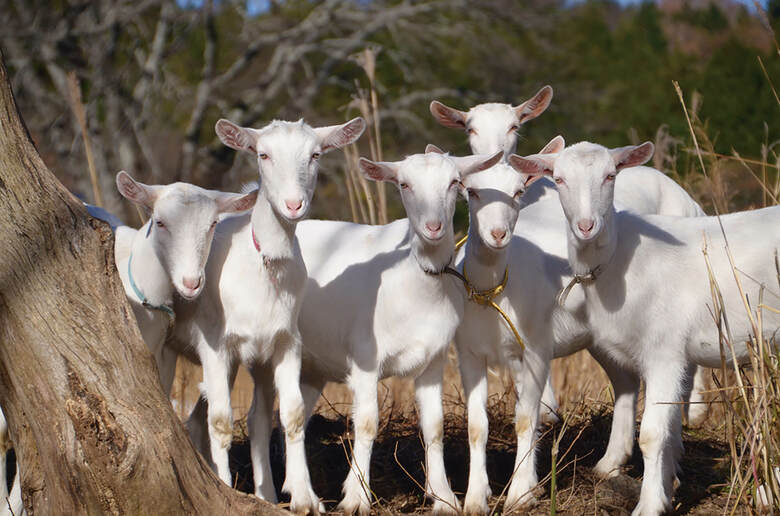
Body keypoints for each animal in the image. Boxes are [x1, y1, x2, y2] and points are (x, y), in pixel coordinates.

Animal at [171, 115, 366, 512]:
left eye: (315, 154)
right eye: (263, 154)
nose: (293, 205)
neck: (261, 261)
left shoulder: (286, 341)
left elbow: (290, 415)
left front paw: (305, 499)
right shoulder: (216, 346)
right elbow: (221, 421)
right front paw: (226, 490)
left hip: (256, 359)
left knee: (248, 418)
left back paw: (266, 494)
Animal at [286, 148, 500, 512]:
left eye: (454, 182)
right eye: (404, 184)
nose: (433, 227)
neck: (415, 281)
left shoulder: (433, 361)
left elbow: (434, 427)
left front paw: (443, 497)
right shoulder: (364, 360)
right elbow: (366, 424)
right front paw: (356, 498)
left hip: (312, 367)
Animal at [512, 139, 780, 512]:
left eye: (611, 175)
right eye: (559, 179)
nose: (586, 226)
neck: (620, 259)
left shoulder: (664, 352)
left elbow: (652, 435)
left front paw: (649, 505)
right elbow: (664, 429)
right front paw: (666, 489)